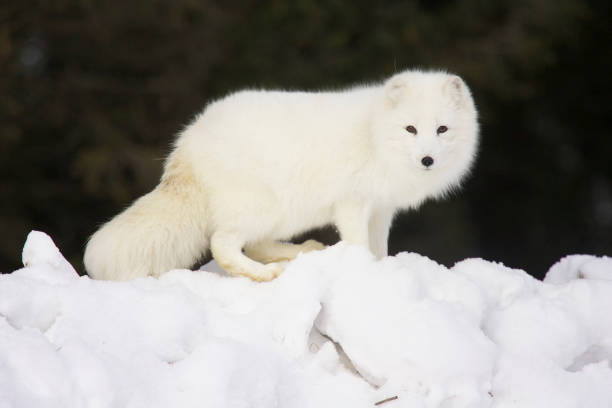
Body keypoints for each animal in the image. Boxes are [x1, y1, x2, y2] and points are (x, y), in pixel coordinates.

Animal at [85, 70, 478, 280]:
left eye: (442, 129)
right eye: (411, 129)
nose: (427, 159)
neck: (375, 133)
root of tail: (186, 144)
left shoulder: (382, 209)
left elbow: (379, 248)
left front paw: (381, 269)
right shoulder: (352, 205)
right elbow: (359, 245)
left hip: (286, 214)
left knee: (255, 244)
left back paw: (300, 252)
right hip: (265, 207)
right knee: (223, 244)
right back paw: (264, 274)